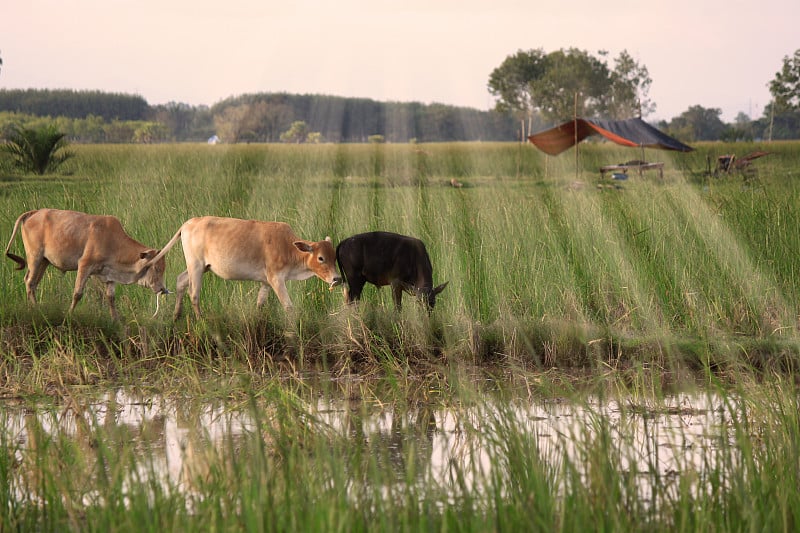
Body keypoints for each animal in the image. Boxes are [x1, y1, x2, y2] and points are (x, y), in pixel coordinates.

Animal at [4, 208, 169, 318]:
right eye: (156, 268)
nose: (162, 289)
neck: (113, 241)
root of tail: (34, 212)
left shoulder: (109, 275)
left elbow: (111, 298)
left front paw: (116, 320)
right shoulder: (84, 265)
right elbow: (77, 293)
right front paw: (70, 314)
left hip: (44, 261)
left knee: (33, 284)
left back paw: (32, 308)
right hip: (35, 257)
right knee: (29, 281)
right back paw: (35, 308)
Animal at [145, 215, 340, 318]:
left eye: (334, 257)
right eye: (321, 258)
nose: (336, 278)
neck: (288, 246)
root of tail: (189, 223)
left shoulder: (266, 282)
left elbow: (260, 303)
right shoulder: (276, 279)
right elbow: (288, 307)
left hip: (201, 267)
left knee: (180, 281)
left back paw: (176, 316)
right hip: (196, 266)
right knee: (193, 293)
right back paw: (200, 319)